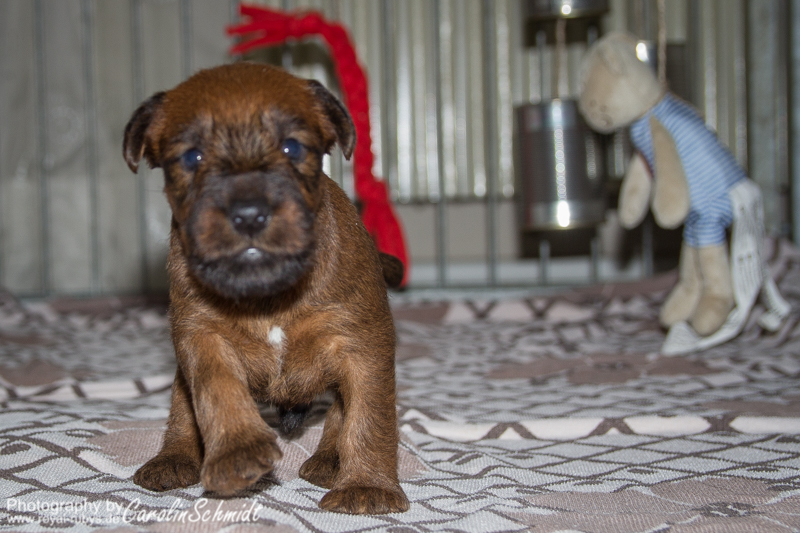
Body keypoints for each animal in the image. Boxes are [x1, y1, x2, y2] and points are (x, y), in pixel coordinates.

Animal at [122, 62, 409, 515]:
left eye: (292, 148)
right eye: (192, 157)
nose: (249, 214)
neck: (268, 295)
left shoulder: (362, 345)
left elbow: (369, 416)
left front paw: (367, 486)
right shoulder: (201, 336)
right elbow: (216, 393)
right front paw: (237, 453)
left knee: (341, 409)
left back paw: (331, 459)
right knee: (181, 408)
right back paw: (172, 458)